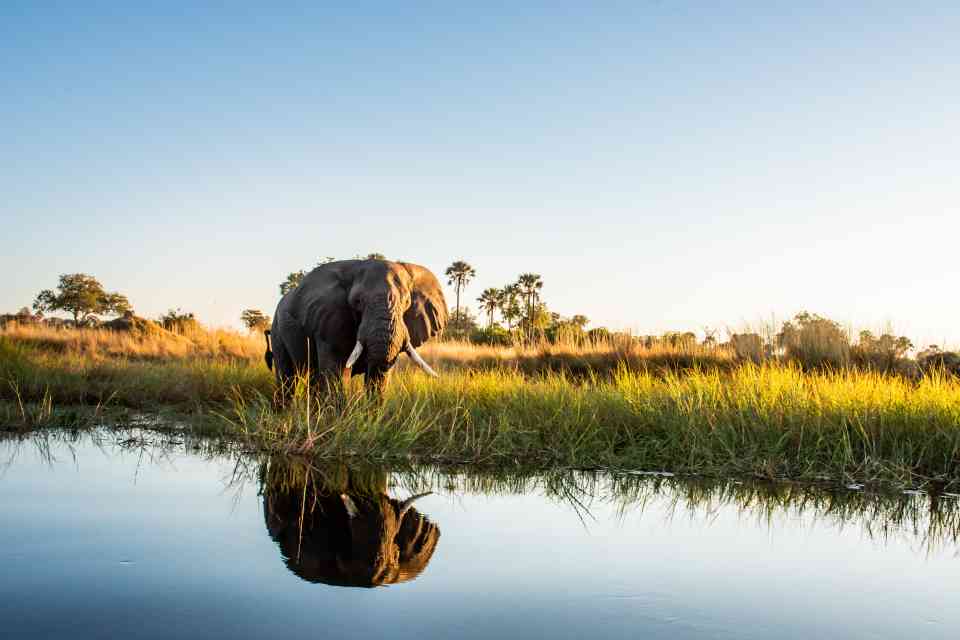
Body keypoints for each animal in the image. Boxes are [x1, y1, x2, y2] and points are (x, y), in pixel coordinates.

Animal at [265, 259, 448, 399]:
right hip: (277, 330)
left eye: (407, 302)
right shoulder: (330, 321)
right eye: (357, 301)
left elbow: (377, 378)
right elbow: (336, 372)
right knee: (287, 376)